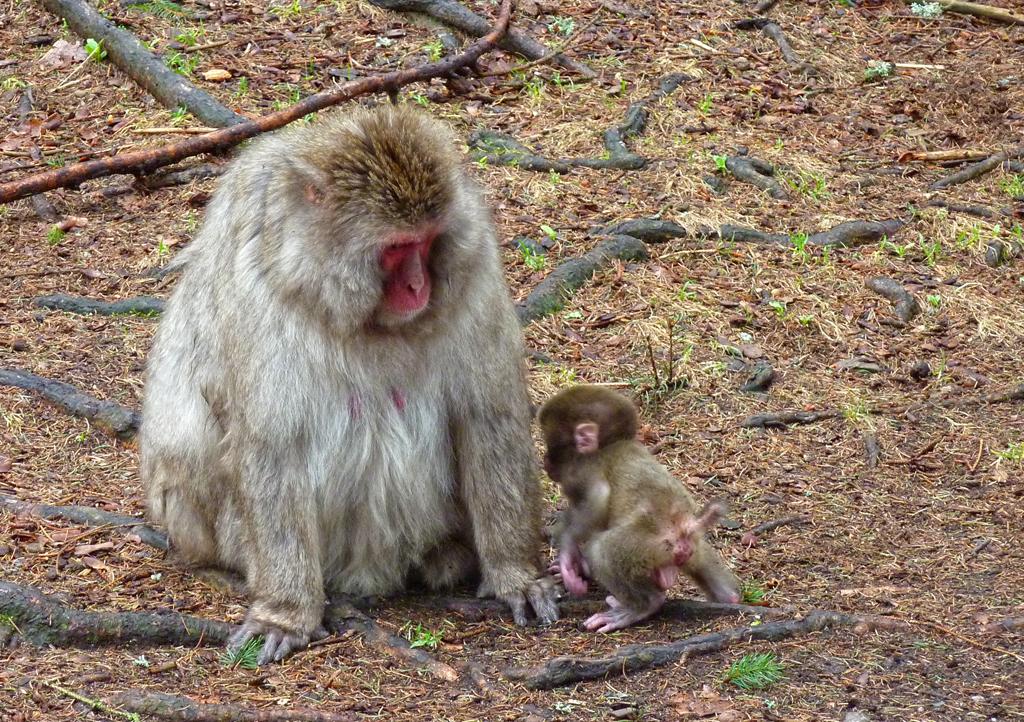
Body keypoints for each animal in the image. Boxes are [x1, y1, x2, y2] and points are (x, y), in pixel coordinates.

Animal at [140, 104, 558, 665]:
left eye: (428, 242)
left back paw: (445, 556)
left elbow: (488, 416)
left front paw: (515, 574)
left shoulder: (474, 266)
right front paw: (285, 611)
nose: (419, 286)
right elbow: (273, 445)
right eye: (396, 249)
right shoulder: (258, 290)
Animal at [538, 385, 741, 632]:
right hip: (693, 550)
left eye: (552, 444)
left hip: (652, 546)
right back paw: (729, 598)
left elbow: (598, 498)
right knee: (721, 585)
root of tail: (685, 527)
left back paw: (641, 606)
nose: (546, 461)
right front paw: (580, 565)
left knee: (603, 549)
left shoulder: (584, 470)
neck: (607, 444)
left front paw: (569, 557)